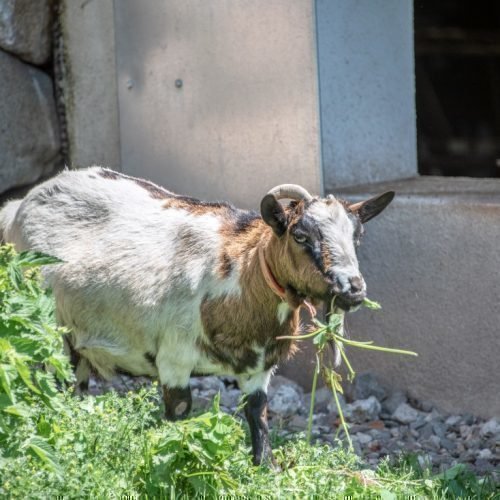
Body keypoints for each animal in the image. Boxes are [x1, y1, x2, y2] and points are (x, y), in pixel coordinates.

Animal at [0, 167, 394, 464]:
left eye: (357, 235)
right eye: (299, 235)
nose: (353, 288)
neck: (238, 272)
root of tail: (18, 206)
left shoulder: (258, 369)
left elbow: (258, 416)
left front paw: (264, 469)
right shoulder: (173, 359)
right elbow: (179, 416)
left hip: (78, 344)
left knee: (76, 388)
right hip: (48, 328)